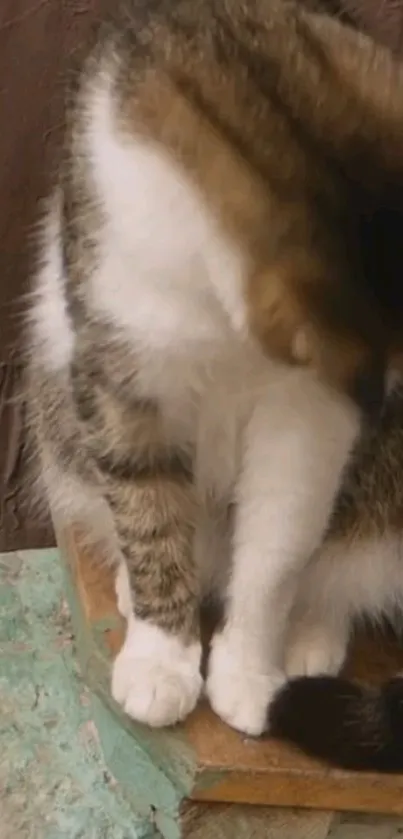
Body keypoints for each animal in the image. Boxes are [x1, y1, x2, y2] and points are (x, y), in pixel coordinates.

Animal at [28, 0, 403, 776]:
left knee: (343, 565)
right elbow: (146, 510)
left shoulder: (308, 415)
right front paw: (162, 658)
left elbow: (278, 546)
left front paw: (251, 672)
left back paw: (310, 635)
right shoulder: (119, 370)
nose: (379, 399)